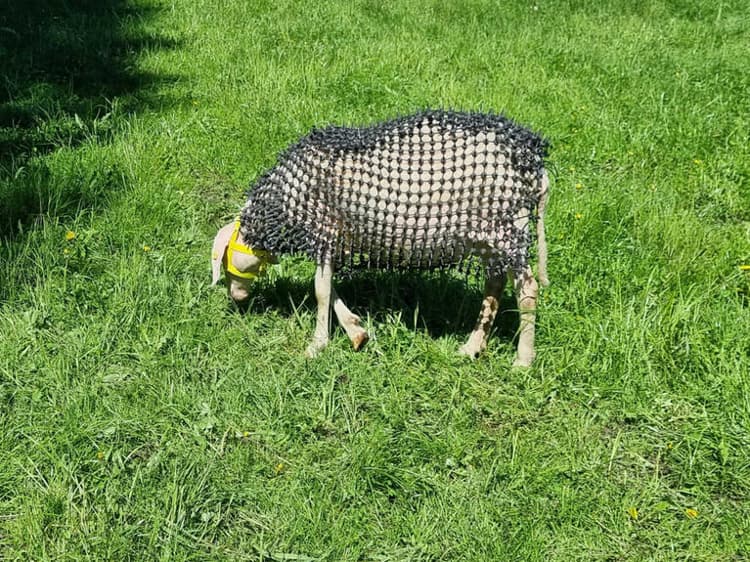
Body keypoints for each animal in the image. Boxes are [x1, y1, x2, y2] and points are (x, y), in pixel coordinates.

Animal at [212, 110, 550, 366]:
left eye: (224, 259)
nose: (236, 298)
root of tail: (534, 168)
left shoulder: (324, 232)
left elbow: (321, 290)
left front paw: (316, 346)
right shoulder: (334, 239)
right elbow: (329, 288)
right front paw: (356, 332)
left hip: (505, 229)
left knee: (527, 288)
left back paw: (523, 360)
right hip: (490, 237)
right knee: (495, 283)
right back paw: (472, 347)